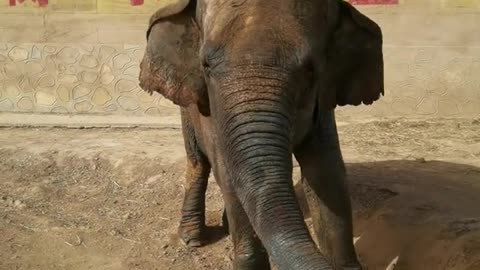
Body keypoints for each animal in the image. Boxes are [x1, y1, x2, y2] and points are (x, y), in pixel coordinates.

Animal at [138, 0, 382, 268]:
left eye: (310, 71)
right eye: (206, 66)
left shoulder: (322, 108)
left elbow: (327, 173)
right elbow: (228, 176)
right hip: (187, 107)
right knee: (198, 161)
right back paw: (192, 238)